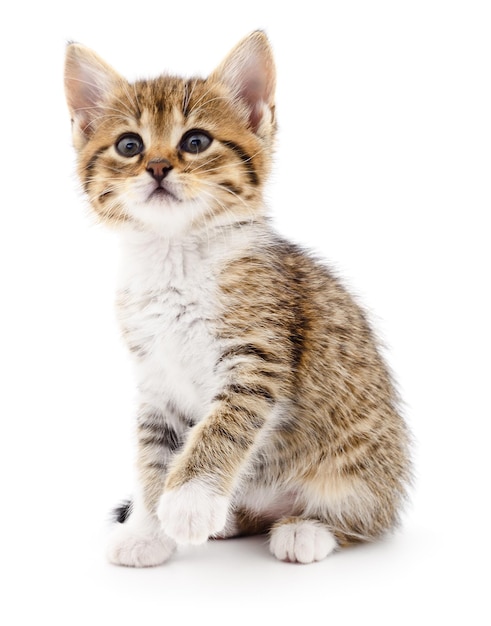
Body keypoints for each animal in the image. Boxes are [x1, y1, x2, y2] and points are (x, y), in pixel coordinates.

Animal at [64, 31, 412, 564]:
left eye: (195, 141)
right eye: (129, 145)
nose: (158, 166)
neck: (176, 256)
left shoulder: (257, 356)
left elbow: (223, 424)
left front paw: (188, 502)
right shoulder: (156, 377)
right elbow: (153, 453)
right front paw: (149, 529)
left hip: (361, 472)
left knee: (366, 519)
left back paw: (307, 529)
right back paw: (231, 519)